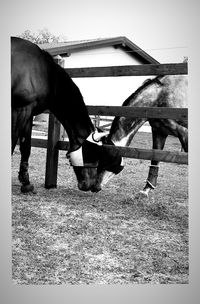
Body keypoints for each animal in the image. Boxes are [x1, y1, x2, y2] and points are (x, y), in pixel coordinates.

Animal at [11, 37, 110, 192]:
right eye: (95, 154)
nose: (95, 187)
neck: (44, 74)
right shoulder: (19, 110)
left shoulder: (28, 113)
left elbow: (25, 147)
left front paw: (26, 183)